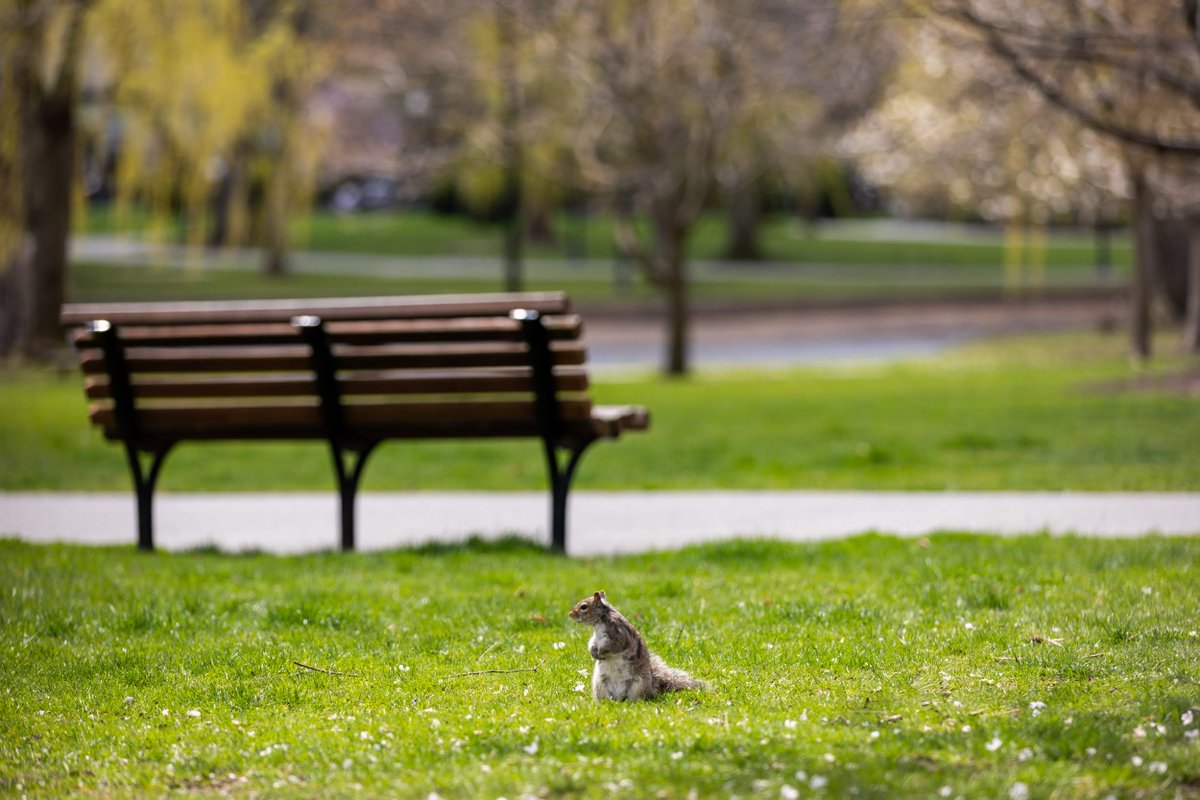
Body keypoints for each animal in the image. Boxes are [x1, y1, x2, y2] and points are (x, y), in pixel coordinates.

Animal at [568, 587, 700, 700]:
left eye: (584, 607)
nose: (570, 614)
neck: (600, 620)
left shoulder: (618, 634)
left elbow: (613, 646)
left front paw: (600, 652)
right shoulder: (596, 638)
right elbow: (592, 643)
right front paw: (593, 652)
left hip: (638, 686)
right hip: (600, 684)